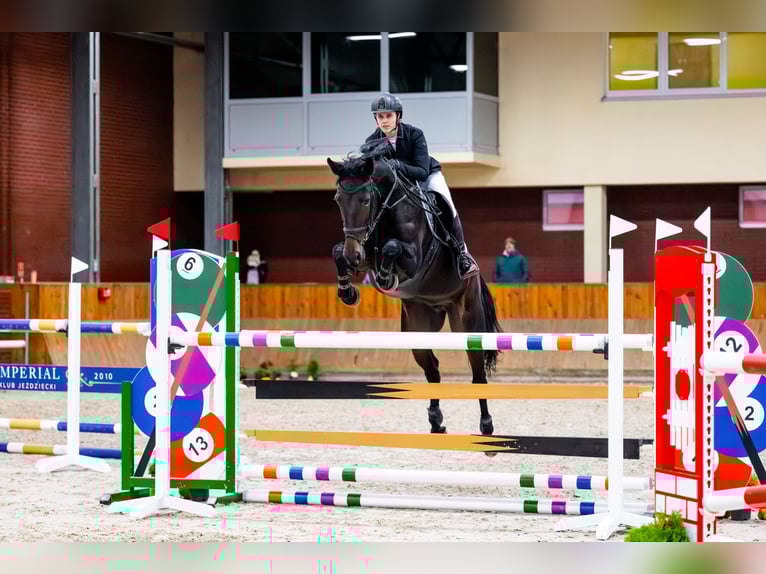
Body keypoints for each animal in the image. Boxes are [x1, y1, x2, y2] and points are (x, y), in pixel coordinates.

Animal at [326, 141, 502, 437]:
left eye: (365, 200)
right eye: (338, 199)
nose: (354, 256)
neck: (386, 208)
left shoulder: (413, 258)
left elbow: (392, 247)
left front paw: (386, 278)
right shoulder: (364, 252)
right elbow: (337, 250)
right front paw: (348, 292)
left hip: (468, 320)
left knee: (477, 372)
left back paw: (486, 423)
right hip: (419, 324)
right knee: (432, 369)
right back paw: (435, 420)